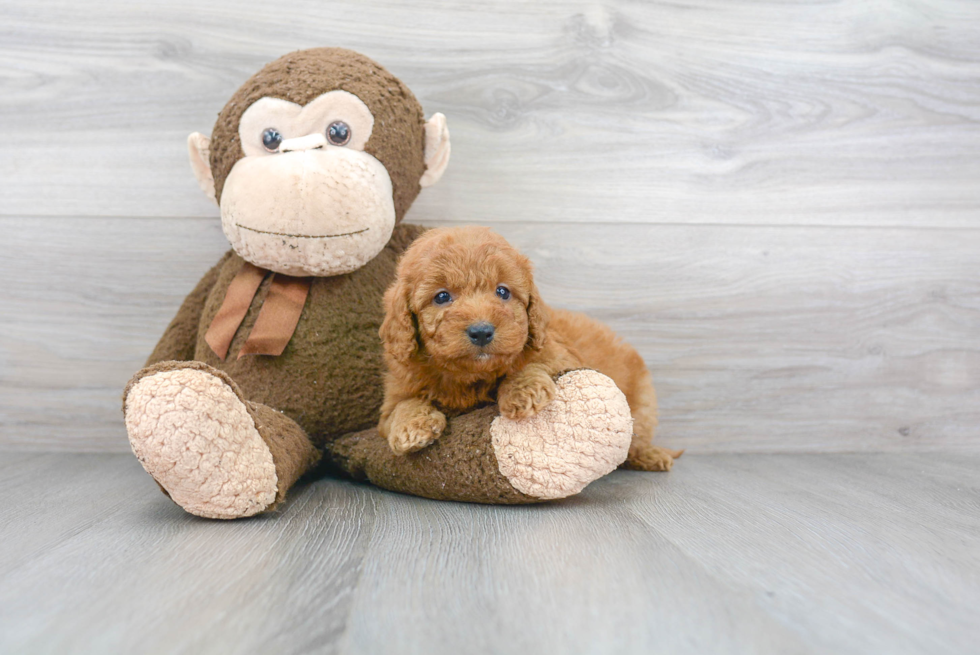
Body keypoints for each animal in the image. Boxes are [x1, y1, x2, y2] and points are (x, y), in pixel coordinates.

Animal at [376, 227, 680, 472]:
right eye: (441, 296)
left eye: (502, 291)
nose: (481, 331)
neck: (471, 377)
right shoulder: (392, 400)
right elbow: (402, 406)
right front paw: (410, 427)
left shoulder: (562, 355)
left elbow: (534, 363)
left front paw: (523, 390)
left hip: (643, 402)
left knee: (634, 438)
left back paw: (651, 456)